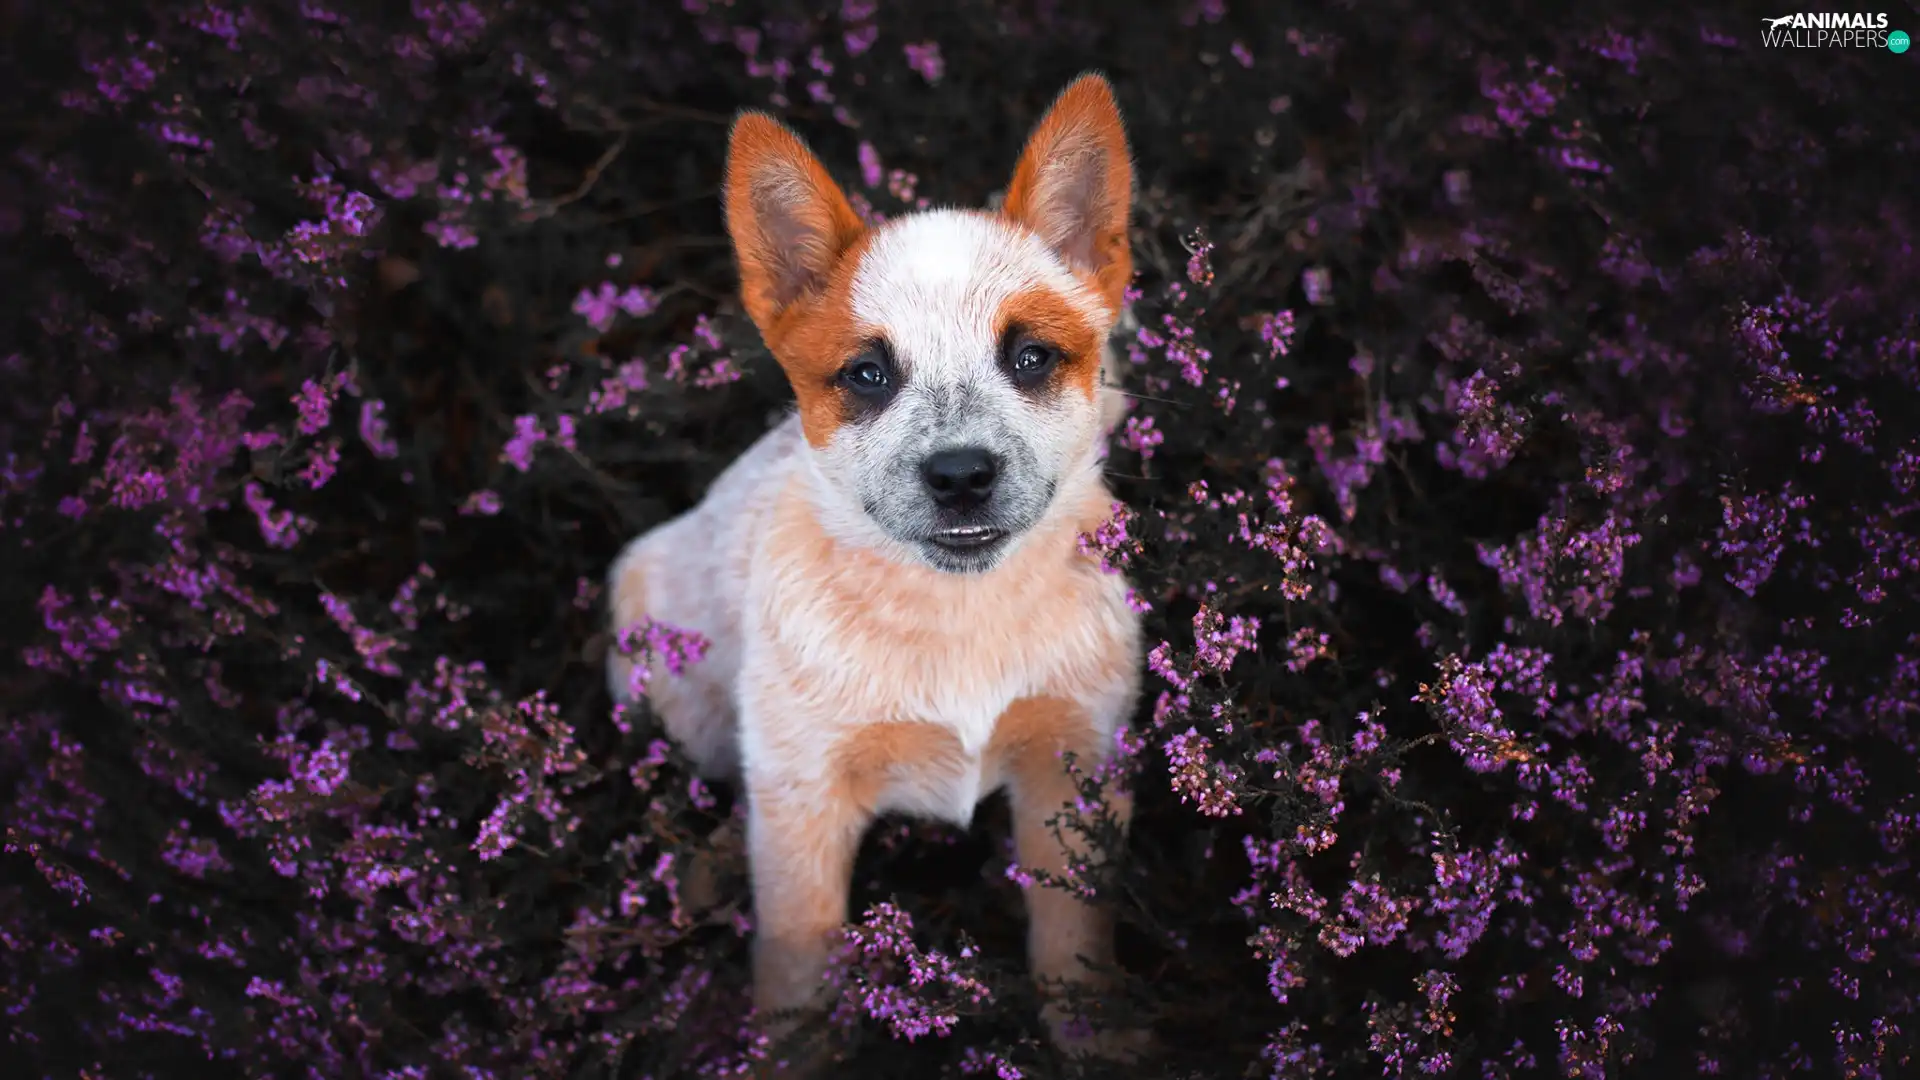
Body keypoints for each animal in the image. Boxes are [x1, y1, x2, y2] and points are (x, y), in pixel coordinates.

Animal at [602, 73, 1136, 1060]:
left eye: (1031, 356)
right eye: (866, 375)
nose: (961, 475)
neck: (959, 617)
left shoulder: (1074, 762)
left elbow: (1072, 945)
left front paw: (1102, 1037)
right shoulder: (804, 791)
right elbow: (796, 966)